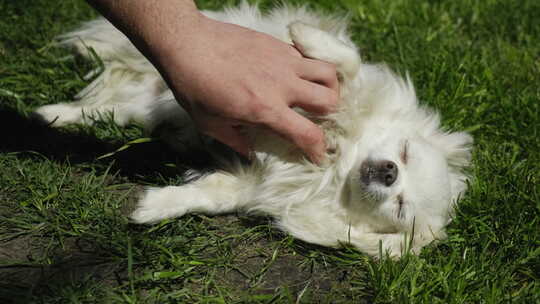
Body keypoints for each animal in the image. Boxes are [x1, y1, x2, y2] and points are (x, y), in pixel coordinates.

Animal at [33, 3, 472, 258]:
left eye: (400, 208)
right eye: (404, 152)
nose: (389, 172)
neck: (334, 169)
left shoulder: (251, 184)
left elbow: (208, 197)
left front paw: (155, 208)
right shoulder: (324, 90)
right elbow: (347, 64)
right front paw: (306, 35)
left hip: (150, 108)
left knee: (114, 112)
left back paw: (51, 116)